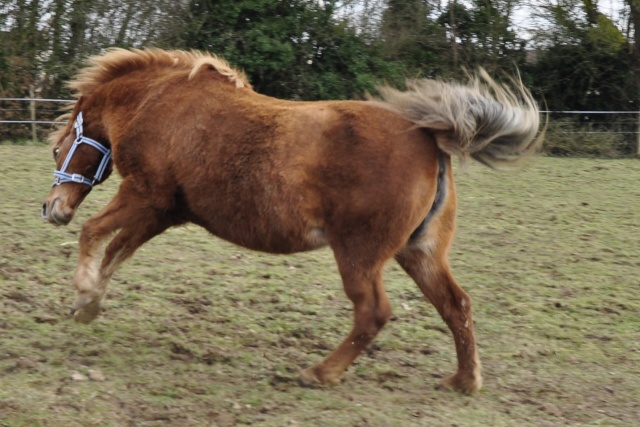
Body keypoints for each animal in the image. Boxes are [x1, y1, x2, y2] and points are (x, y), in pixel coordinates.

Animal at [42, 46, 540, 394]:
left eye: (57, 148)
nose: (52, 208)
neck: (158, 102)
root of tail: (429, 139)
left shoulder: (144, 194)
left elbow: (93, 234)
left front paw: (83, 293)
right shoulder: (163, 211)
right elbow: (115, 251)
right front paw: (88, 305)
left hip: (359, 254)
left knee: (373, 312)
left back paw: (320, 373)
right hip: (419, 252)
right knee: (456, 305)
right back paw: (464, 381)